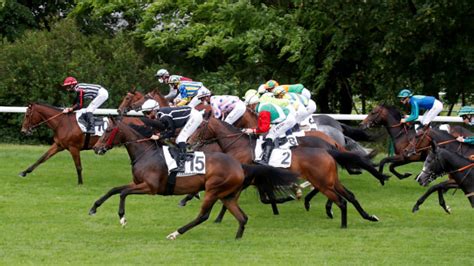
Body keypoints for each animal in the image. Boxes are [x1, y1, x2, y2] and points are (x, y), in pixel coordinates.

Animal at [90, 116, 296, 239]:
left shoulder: (150, 187)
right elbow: (114, 189)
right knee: (242, 217)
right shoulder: (138, 182)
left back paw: (175, 233)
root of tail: (240, 166)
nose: (96, 148)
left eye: (107, 131)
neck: (146, 153)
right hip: (227, 195)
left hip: (213, 190)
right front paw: (93, 208)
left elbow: (123, 193)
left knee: (203, 215)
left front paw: (122, 218)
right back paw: (237, 238)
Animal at [189, 116, 382, 229]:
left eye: (199, 127)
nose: (190, 143)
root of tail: (329, 144)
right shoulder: (259, 179)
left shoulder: (247, 178)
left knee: (336, 195)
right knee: (347, 194)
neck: (239, 145)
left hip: (321, 179)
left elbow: (235, 198)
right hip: (328, 178)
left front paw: (218, 217)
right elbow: (265, 197)